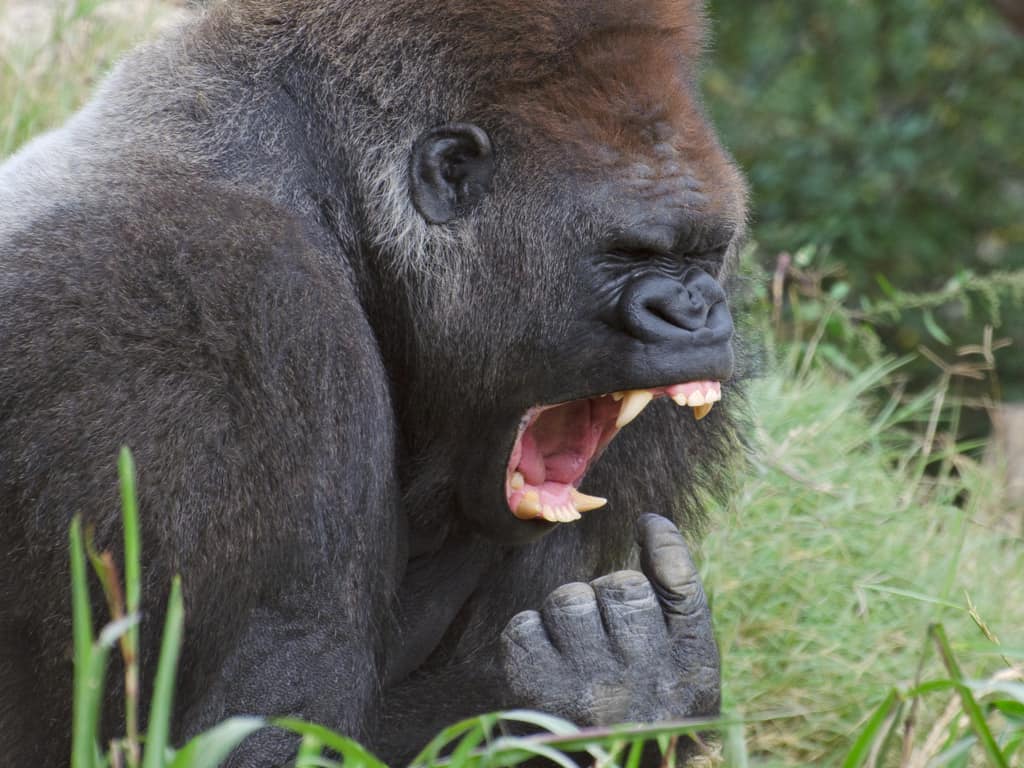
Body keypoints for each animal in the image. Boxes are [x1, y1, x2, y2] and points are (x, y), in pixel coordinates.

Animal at [0, 0, 745, 765]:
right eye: (628, 253)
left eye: (704, 253)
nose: (696, 312)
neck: (333, 192)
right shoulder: (231, 307)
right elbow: (255, 731)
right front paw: (606, 696)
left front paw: (638, 696)